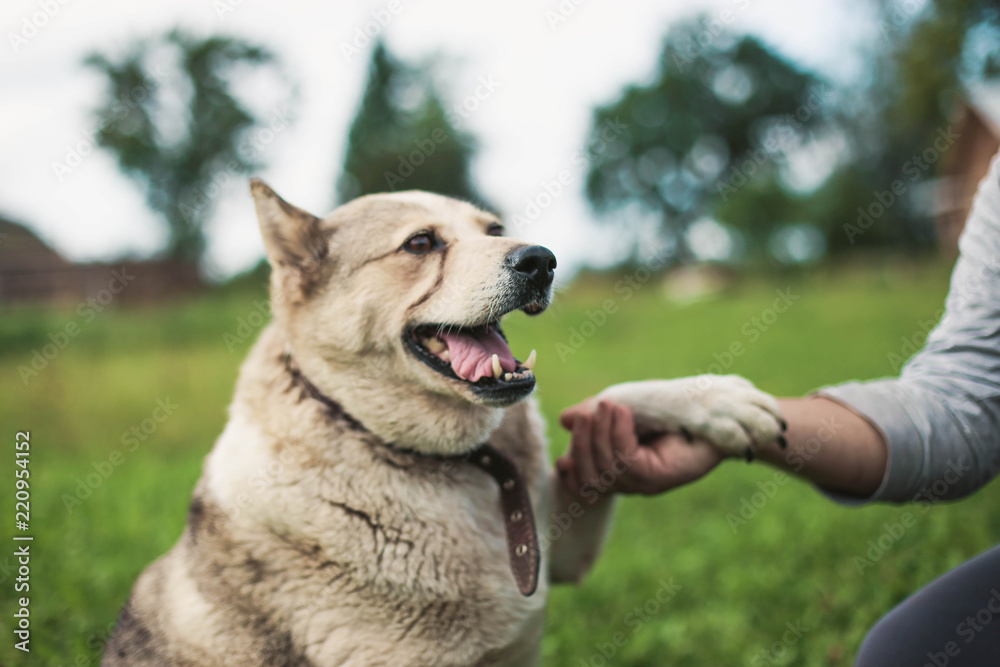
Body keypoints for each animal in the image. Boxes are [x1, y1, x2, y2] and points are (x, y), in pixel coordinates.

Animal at [105, 183, 784, 667]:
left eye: (495, 230)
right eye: (420, 244)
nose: (542, 260)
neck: (452, 461)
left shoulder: (561, 551)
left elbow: (611, 396)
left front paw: (717, 402)